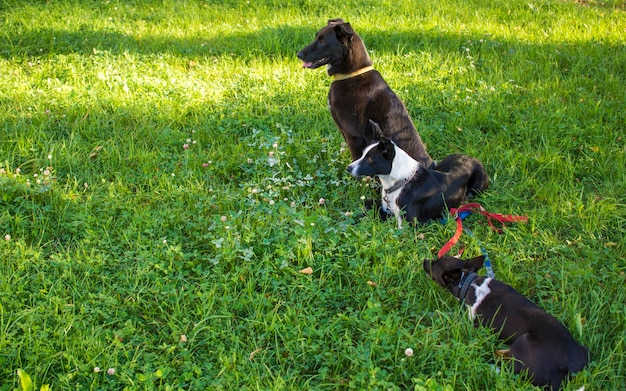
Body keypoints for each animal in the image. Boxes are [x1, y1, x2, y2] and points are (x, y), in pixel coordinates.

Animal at [346, 119, 488, 227]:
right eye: (363, 154)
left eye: (370, 159)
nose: (348, 168)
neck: (400, 183)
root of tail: (471, 157)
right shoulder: (386, 208)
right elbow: (366, 205)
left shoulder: (407, 225)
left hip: (477, 185)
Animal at [422, 256, 588, 390]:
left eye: (433, 264)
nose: (424, 260)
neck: (468, 282)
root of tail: (568, 367)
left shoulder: (470, 321)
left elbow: (448, 315)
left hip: (524, 341)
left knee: (511, 371)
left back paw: (491, 364)